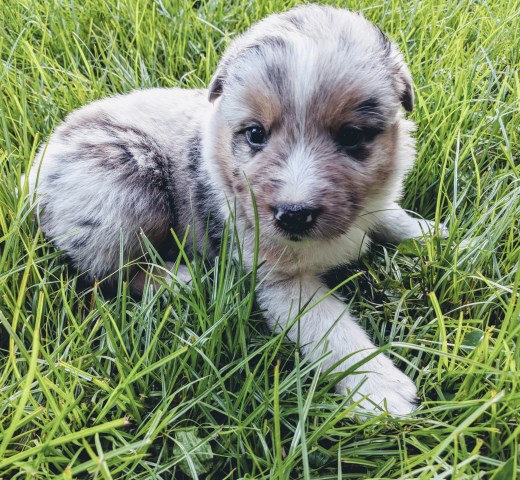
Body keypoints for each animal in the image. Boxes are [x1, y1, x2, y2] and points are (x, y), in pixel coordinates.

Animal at [27, 3, 442, 416]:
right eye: (256, 133)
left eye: (352, 136)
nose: (293, 215)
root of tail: (33, 172)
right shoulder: (281, 280)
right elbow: (331, 327)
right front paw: (379, 385)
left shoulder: (372, 205)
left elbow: (391, 215)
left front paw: (434, 236)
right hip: (125, 182)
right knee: (110, 273)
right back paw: (182, 279)